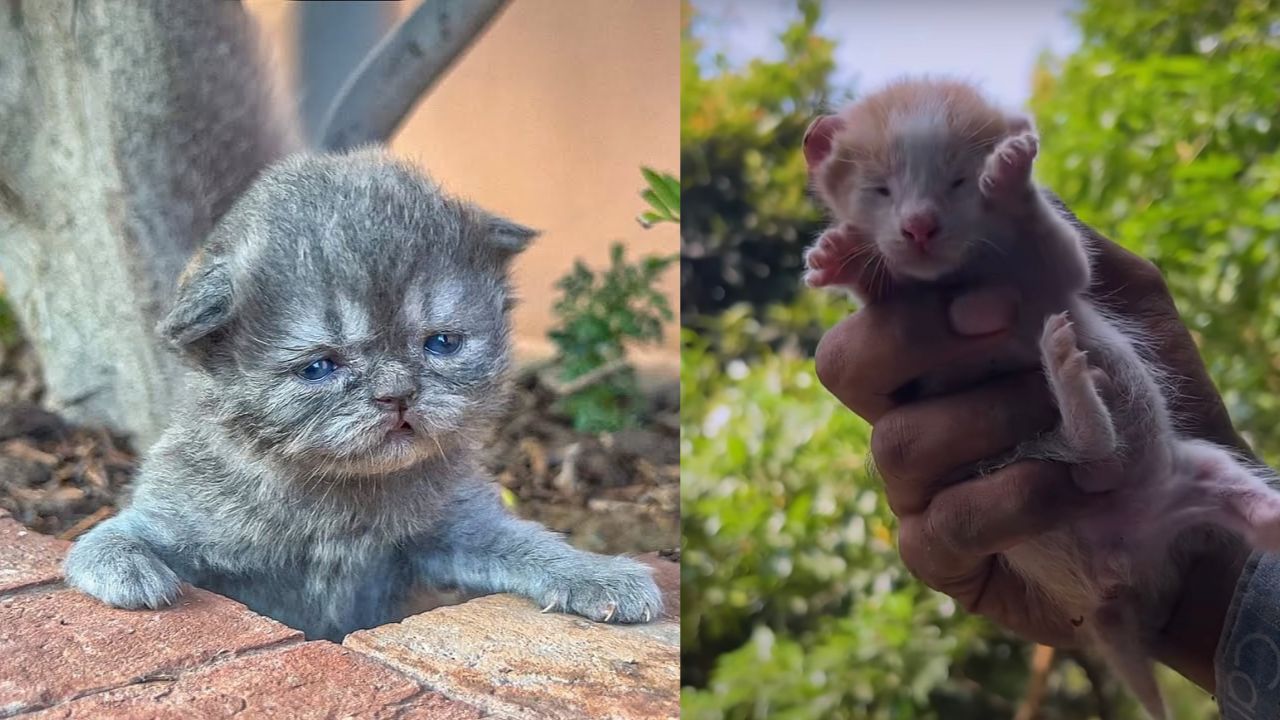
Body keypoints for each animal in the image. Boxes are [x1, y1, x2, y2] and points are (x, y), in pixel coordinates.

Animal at [61, 149, 665, 638]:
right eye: (320, 367)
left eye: (441, 343)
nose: (397, 393)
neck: (344, 502)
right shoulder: (179, 521)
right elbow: (104, 539)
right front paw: (124, 567)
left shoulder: (458, 530)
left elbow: (532, 544)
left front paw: (598, 573)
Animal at [798, 75, 1280, 712]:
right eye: (880, 188)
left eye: (958, 180)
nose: (919, 226)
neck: (965, 273)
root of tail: (1115, 575)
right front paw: (843, 259)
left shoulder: (1055, 273)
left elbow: (1068, 265)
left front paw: (1009, 178)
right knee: (1095, 458)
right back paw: (1070, 380)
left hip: (1189, 470)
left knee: (1111, 461)